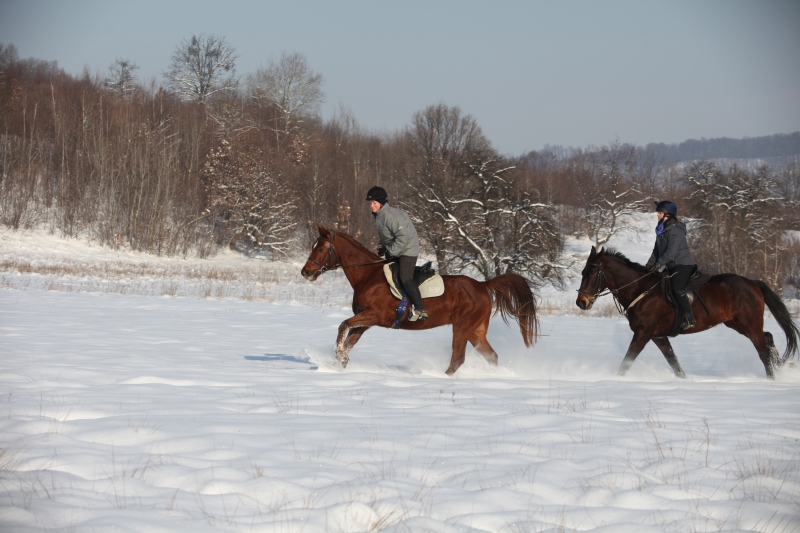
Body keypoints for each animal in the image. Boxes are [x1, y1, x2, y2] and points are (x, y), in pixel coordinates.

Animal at [300, 225, 536, 374]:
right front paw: (341, 361)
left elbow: (342, 325)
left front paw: (340, 357)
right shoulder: (366, 321)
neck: (368, 276)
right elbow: (349, 339)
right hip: (475, 331)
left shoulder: (374, 316)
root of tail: (483, 285)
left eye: (320, 248)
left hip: (462, 327)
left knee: (458, 358)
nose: (305, 272)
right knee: (491, 356)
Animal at [580, 246, 796, 378]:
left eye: (592, 273)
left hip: (748, 324)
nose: (581, 302)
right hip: (736, 324)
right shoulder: (658, 336)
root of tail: (753, 283)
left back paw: (772, 378)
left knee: (762, 348)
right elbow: (674, 362)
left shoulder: (643, 333)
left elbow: (627, 361)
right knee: (767, 338)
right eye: (583, 273)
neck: (641, 289)